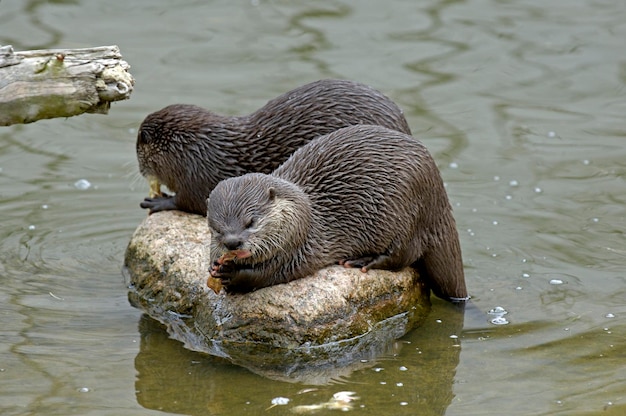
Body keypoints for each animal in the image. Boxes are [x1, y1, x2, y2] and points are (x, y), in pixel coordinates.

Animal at [135, 78, 410, 216]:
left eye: (139, 154)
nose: (140, 171)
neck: (198, 149)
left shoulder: (198, 176)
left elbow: (186, 202)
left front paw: (158, 202)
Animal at [207, 123, 466, 302]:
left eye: (250, 221)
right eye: (216, 228)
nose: (232, 242)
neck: (303, 214)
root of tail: (439, 198)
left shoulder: (293, 248)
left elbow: (265, 275)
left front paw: (232, 274)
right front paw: (213, 267)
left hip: (406, 213)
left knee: (402, 255)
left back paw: (363, 261)